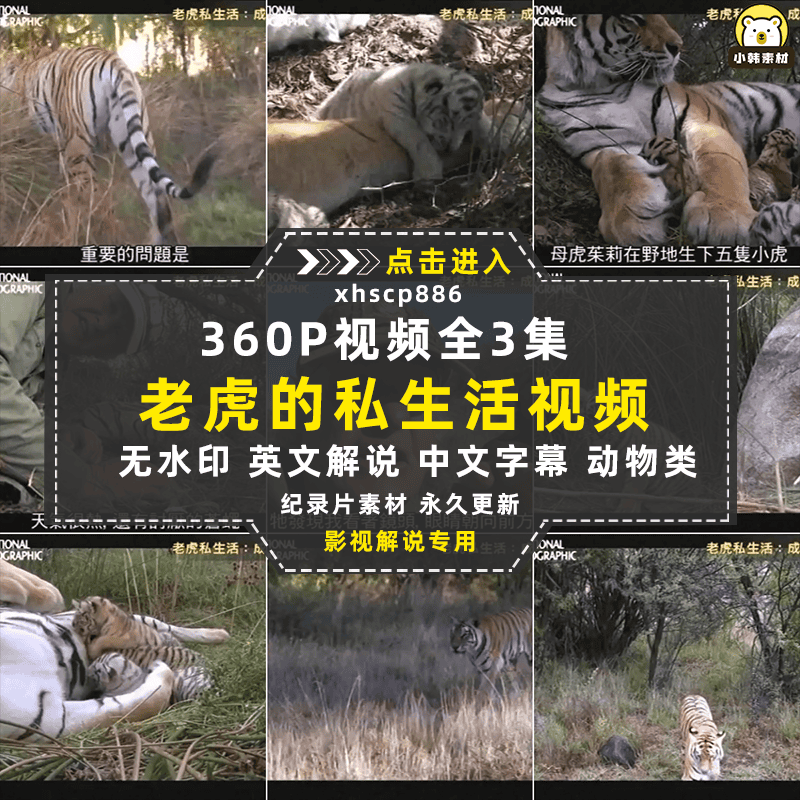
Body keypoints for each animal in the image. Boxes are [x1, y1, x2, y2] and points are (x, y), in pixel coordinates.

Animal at [0, 45, 215, 245]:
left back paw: (92, 236)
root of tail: (113, 61)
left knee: (91, 196)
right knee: (158, 196)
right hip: (132, 136)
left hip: (77, 143)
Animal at [315, 63, 485, 183]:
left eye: (467, 127)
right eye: (450, 116)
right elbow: (418, 140)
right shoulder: (394, 111)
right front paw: (429, 172)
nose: (450, 149)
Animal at [536, 15, 800, 246]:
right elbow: (608, 162)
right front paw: (631, 218)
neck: (598, 84)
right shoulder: (604, 142)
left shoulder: (698, 119)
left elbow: (721, 162)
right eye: (634, 19)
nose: (677, 46)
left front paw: (725, 218)